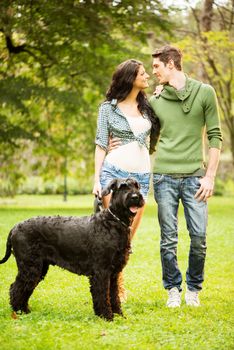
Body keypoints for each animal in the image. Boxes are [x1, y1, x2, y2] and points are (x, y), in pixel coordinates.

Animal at [0, 178, 144, 320]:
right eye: (122, 187)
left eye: (136, 186)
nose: (135, 197)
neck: (114, 221)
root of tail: (15, 227)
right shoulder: (101, 271)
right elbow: (103, 295)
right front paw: (107, 317)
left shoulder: (114, 272)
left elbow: (114, 295)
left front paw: (119, 315)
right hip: (30, 267)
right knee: (16, 288)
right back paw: (19, 312)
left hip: (38, 268)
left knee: (22, 289)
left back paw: (24, 311)